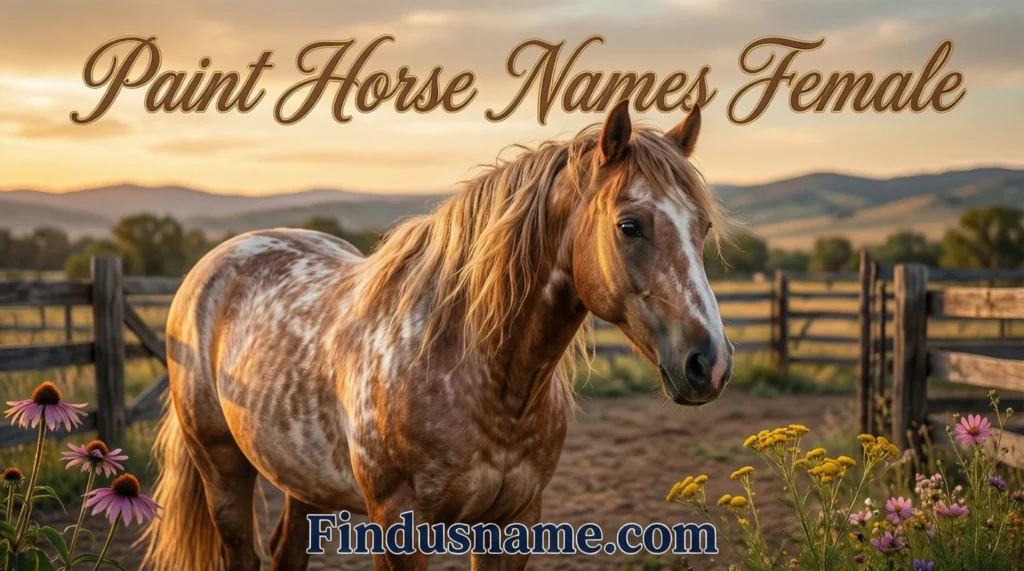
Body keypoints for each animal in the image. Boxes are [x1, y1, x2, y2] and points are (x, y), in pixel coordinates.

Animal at [140, 98, 734, 571]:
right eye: (629, 226)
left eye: (702, 227)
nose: (711, 363)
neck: (478, 374)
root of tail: (219, 262)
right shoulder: (398, 525)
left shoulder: (513, 521)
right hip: (221, 467)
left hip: (299, 478)